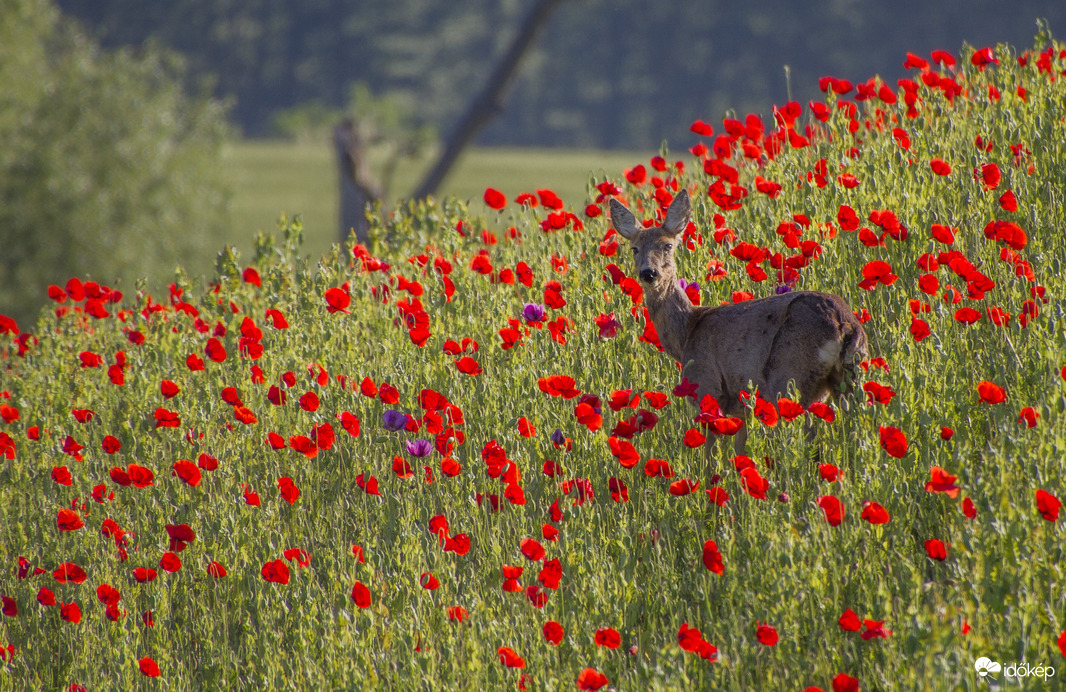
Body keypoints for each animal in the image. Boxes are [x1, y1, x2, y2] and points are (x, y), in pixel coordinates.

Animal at [614, 187, 869, 458]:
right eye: (634, 248)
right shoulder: (742, 411)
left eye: (668, 245)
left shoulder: (707, 388)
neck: (687, 333)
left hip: (790, 379)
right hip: (849, 378)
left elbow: (711, 456)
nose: (648, 273)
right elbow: (741, 453)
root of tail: (845, 323)